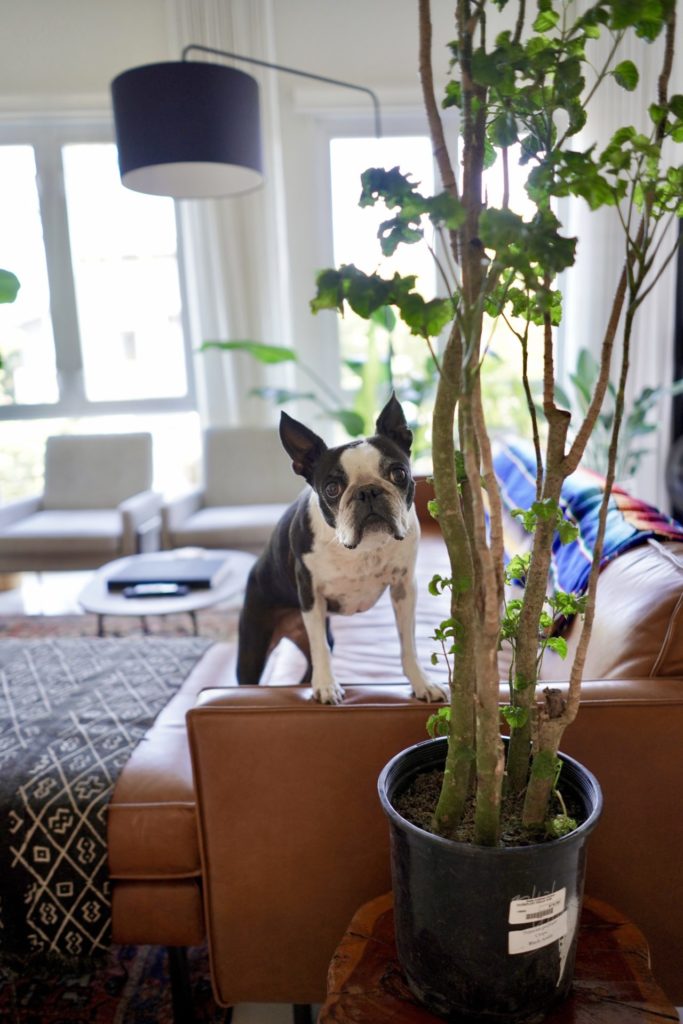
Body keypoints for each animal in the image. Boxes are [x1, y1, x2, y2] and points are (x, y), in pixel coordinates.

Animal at [236, 391, 448, 704]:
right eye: (332, 488)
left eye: (398, 473)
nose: (368, 491)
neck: (360, 548)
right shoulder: (311, 595)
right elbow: (321, 649)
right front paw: (326, 686)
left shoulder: (404, 588)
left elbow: (407, 643)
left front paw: (422, 682)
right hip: (253, 646)